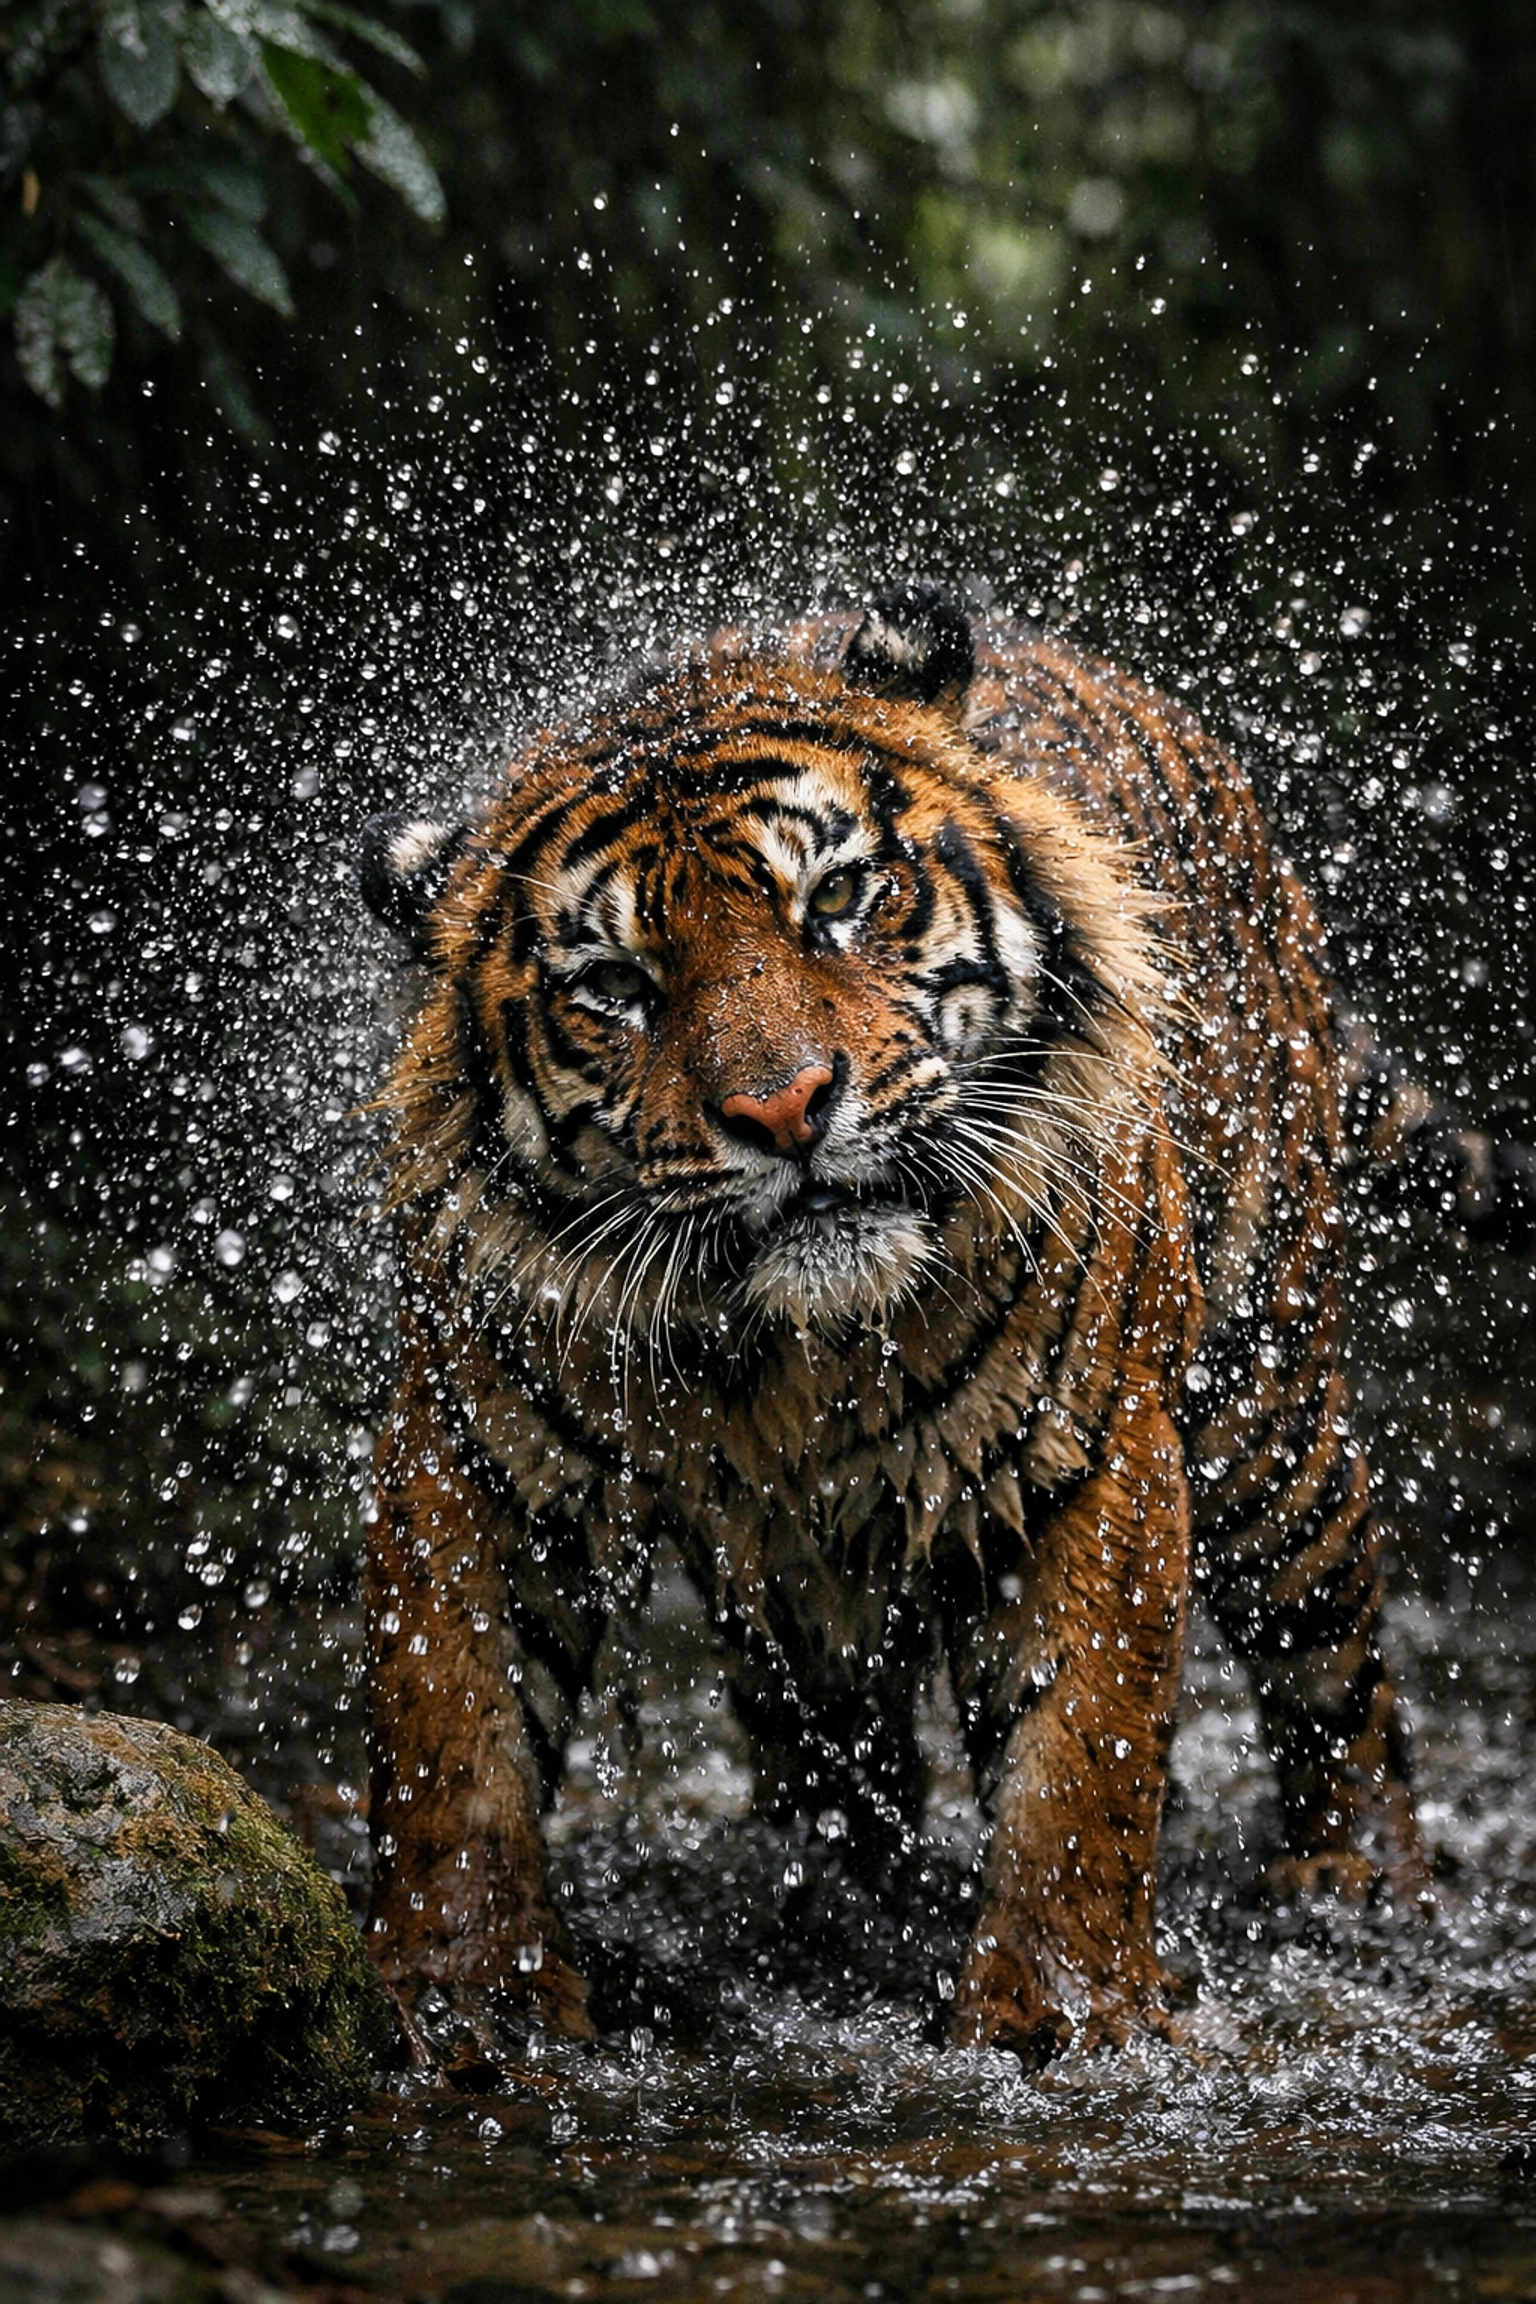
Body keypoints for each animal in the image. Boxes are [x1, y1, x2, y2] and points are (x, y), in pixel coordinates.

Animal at [357, 580, 1535, 2066]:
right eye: (616, 986)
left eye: (839, 899)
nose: (784, 1111)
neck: (786, 1356)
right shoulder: (474, 1462)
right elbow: (452, 1740)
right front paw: (467, 2008)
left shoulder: (1090, 1453)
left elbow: (1080, 1761)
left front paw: (1058, 2018)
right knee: (824, 1739)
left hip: (1266, 1417)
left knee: (1339, 1660)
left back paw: (1360, 1883)